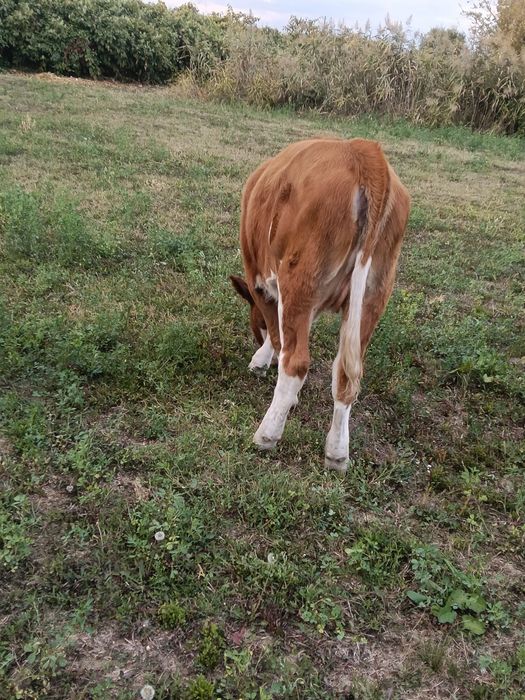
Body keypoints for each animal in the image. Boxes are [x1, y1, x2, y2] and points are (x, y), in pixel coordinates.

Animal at [231, 137, 410, 472]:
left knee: (296, 363)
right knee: (346, 377)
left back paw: (266, 436)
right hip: (374, 295)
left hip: (300, 278)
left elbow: (278, 335)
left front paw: (263, 363)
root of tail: (366, 153)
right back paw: (337, 454)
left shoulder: (260, 279)